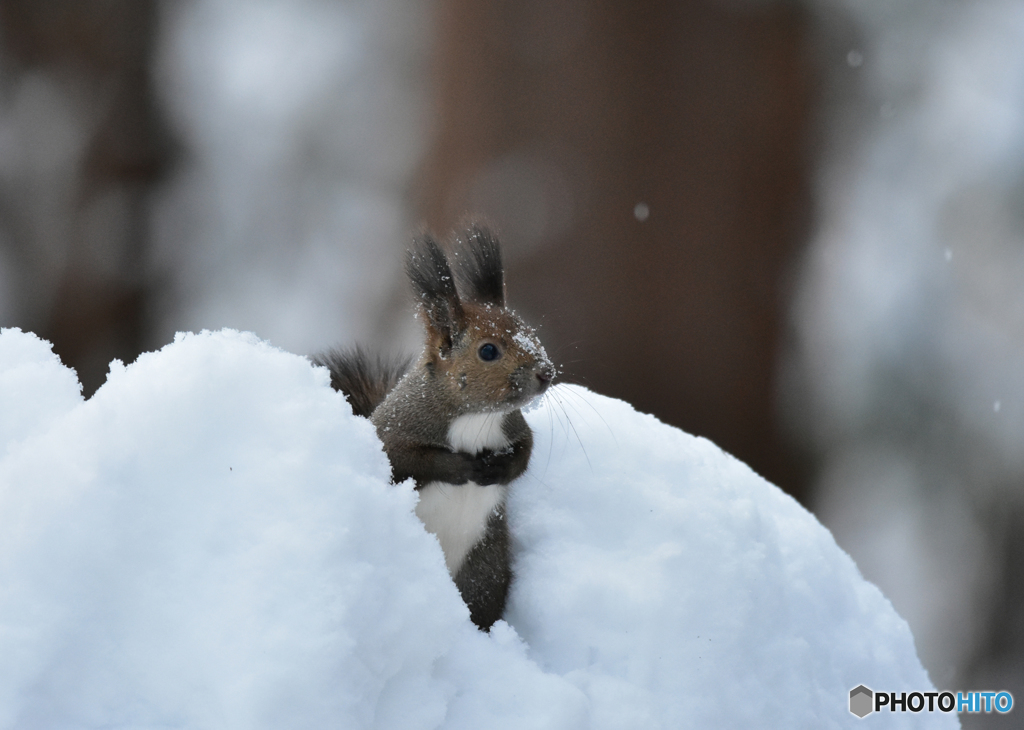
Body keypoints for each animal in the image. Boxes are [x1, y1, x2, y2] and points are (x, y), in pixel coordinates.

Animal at [313, 225, 557, 630]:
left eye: (528, 331)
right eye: (488, 351)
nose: (547, 372)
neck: (475, 417)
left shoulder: (513, 427)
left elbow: (525, 452)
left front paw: (497, 468)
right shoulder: (396, 431)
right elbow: (405, 460)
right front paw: (462, 466)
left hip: (484, 570)